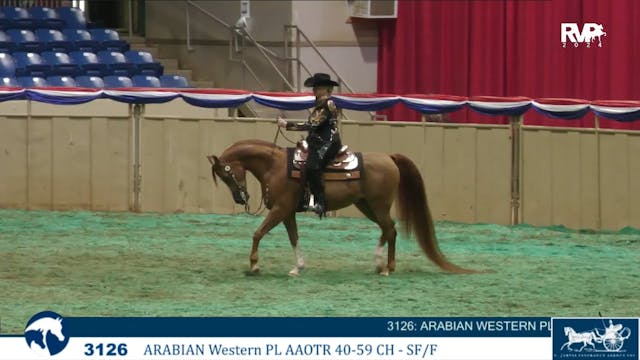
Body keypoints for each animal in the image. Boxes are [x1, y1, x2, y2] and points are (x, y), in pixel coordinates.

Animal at [206, 139, 476, 274]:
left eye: (227, 173)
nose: (240, 198)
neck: (276, 166)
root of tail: (389, 157)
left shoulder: (280, 209)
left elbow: (258, 233)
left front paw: (254, 265)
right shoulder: (287, 213)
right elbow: (294, 238)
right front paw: (298, 267)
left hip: (378, 205)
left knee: (389, 229)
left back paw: (385, 267)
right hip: (366, 206)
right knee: (389, 230)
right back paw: (382, 264)